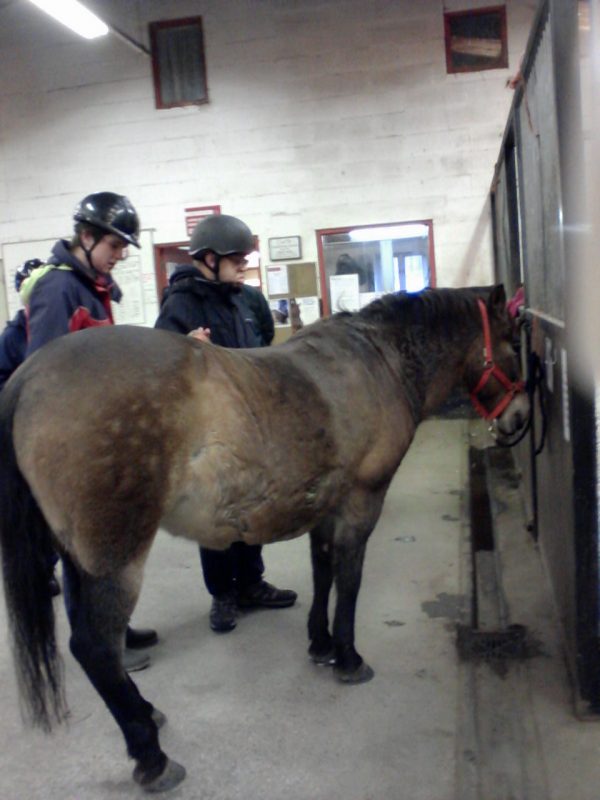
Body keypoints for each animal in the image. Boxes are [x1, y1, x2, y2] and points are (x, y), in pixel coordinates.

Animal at [0, 284, 524, 792]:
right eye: (515, 345)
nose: (518, 420)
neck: (379, 359)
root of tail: (27, 378)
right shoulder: (360, 503)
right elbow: (349, 581)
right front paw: (349, 657)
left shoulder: (325, 509)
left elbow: (323, 572)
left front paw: (321, 645)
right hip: (114, 561)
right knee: (94, 648)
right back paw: (151, 755)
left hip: (77, 558)